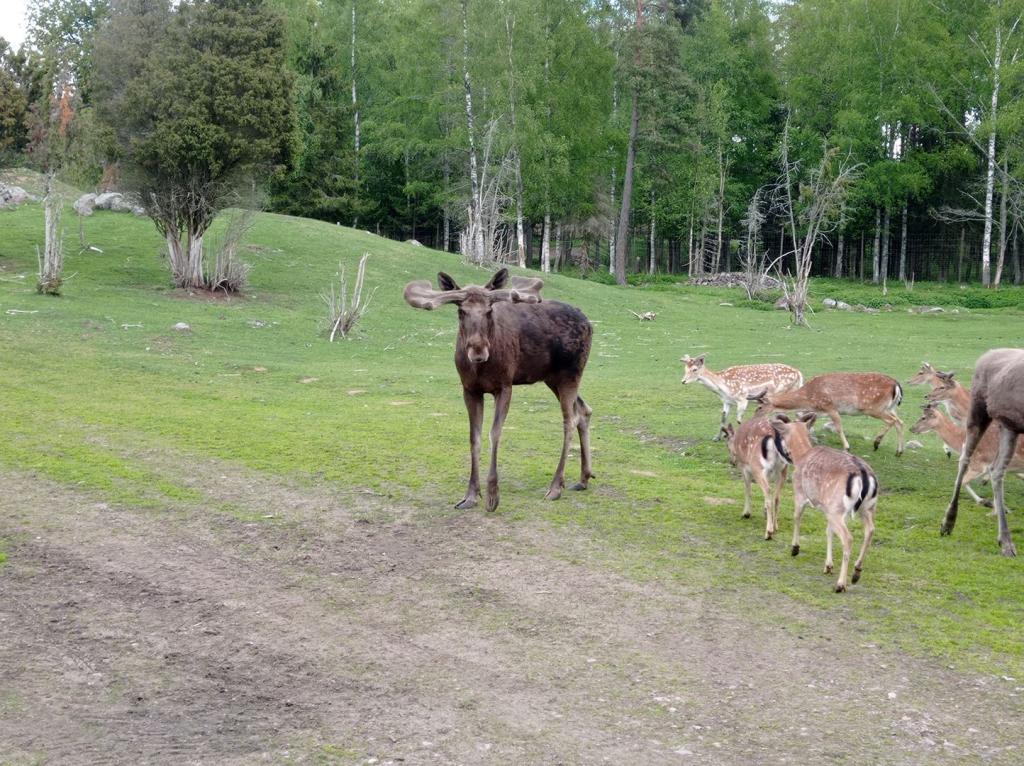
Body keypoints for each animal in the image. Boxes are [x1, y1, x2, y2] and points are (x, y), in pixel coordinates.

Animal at [399, 266, 593, 512]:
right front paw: (471, 495)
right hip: (552, 378)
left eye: (489, 310)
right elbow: (474, 437)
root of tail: (590, 323)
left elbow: (494, 433)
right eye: (461, 311)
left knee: (570, 420)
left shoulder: (505, 386)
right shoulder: (469, 389)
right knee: (584, 410)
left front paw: (492, 496)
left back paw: (556, 487)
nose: (478, 351)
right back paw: (584, 478)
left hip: (570, 374)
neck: (479, 368)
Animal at [745, 372, 905, 454]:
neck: (809, 398)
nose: (753, 421)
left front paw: (846, 447)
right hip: (890, 407)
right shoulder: (818, 410)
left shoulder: (830, 406)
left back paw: (878, 443)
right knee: (900, 421)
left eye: (759, 407)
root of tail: (897, 386)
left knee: (893, 421)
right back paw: (898, 451)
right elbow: (805, 421)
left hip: (874, 408)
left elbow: (839, 427)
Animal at [770, 413, 876, 593]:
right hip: (865, 508)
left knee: (848, 538)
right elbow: (828, 532)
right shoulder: (828, 508)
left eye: (781, 435)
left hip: (839, 509)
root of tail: (863, 475)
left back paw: (840, 584)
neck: (802, 455)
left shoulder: (800, 493)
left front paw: (795, 549)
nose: (785, 455)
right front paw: (828, 566)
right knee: (870, 530)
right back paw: (856, 573)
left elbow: (797, 517)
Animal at [942, 348, 1024, 557]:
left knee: (997, 470)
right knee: (964, 458)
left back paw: (1004, 538)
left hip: (1009, 425)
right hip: (978, 411)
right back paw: (948, 522)